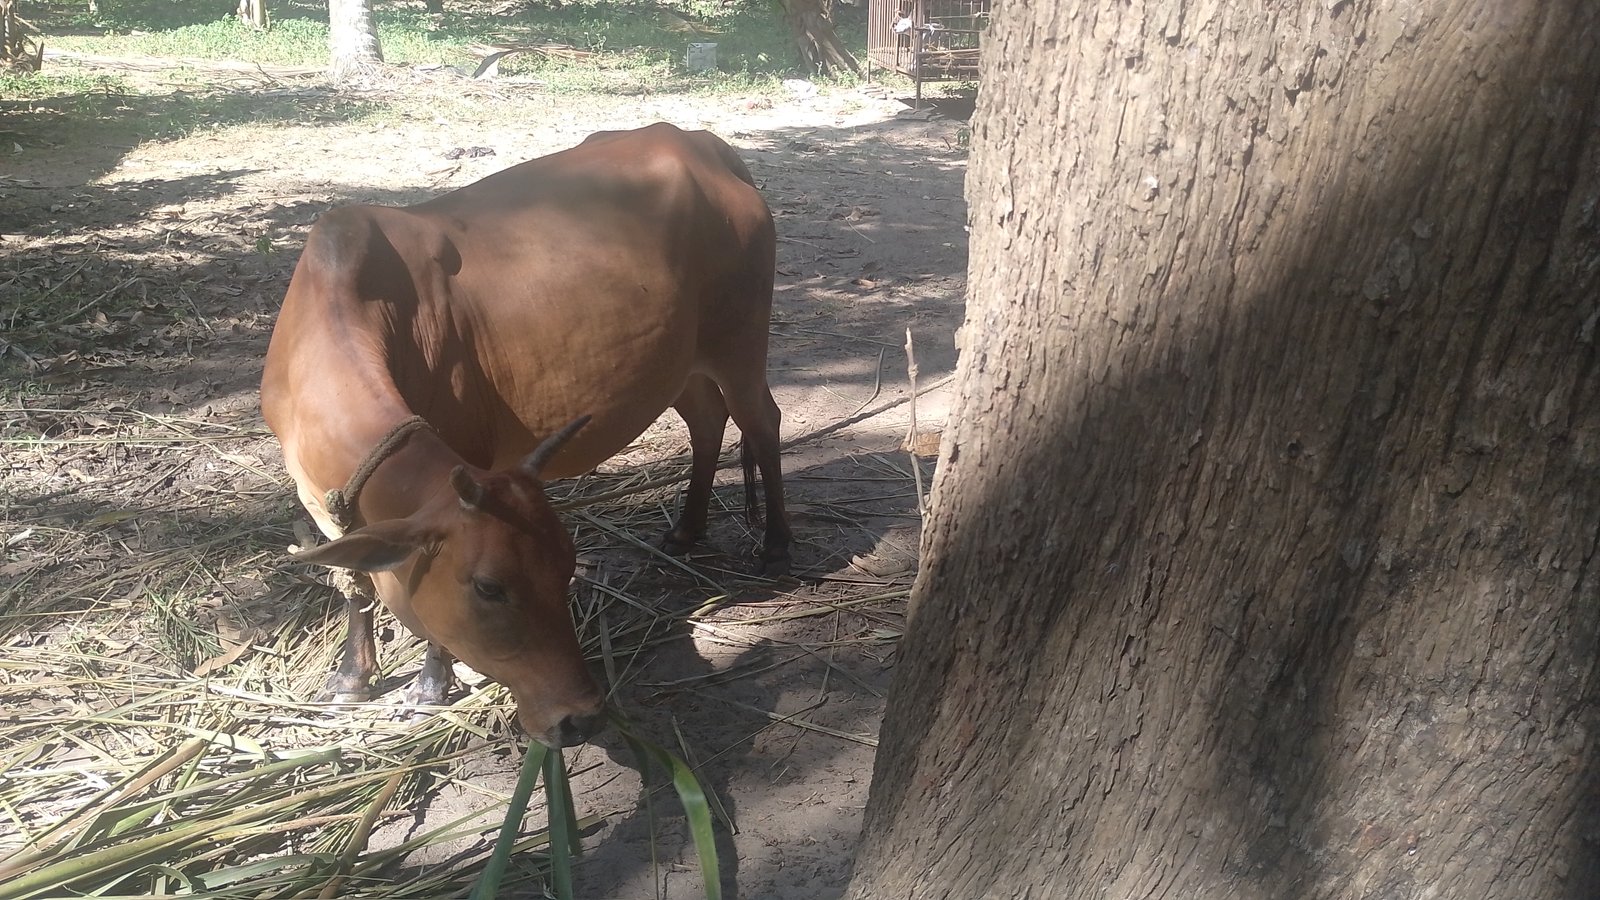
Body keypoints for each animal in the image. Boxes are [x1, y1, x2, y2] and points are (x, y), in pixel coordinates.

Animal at [259, 124, 796, 743]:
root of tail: (701, 143)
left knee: (762, 420)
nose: (581, 714)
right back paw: (685, 530)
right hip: (678, 363)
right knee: (708, 423)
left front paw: (430, 686)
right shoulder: (318, 498)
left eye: (567, 569)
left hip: (739, 341)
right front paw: (350, 678)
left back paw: (775, 545)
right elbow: (356, 581)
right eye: (488, 587)